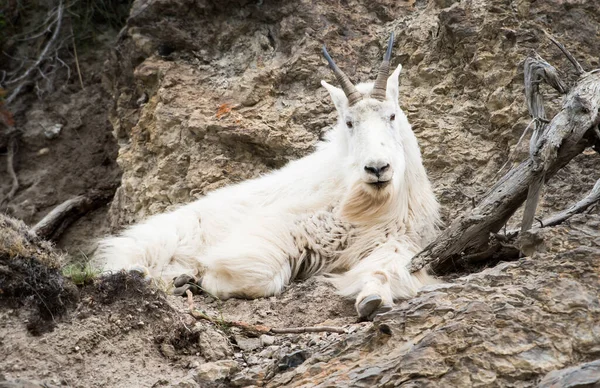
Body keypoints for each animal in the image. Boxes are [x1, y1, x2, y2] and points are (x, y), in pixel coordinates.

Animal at [96, 32, 438, 318]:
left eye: (392, 115)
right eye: (349, 122)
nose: (377, 168)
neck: (367, 203)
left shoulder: (398, 240)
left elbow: (387, 269)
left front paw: (373, 298)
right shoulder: (280, 228)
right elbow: (261, 276)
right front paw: (205, 277)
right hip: (159, 241)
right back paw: (150, 276)